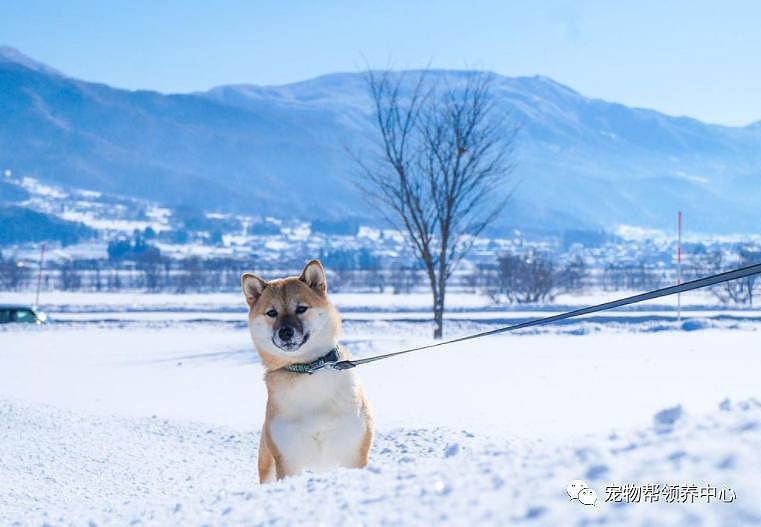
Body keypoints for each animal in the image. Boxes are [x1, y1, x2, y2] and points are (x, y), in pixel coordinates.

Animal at [242, 260, 372, 482]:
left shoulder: (354, 454)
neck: (309, 369)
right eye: (271, 313)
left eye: (301, 308)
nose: (285, 332)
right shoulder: (288, 461)